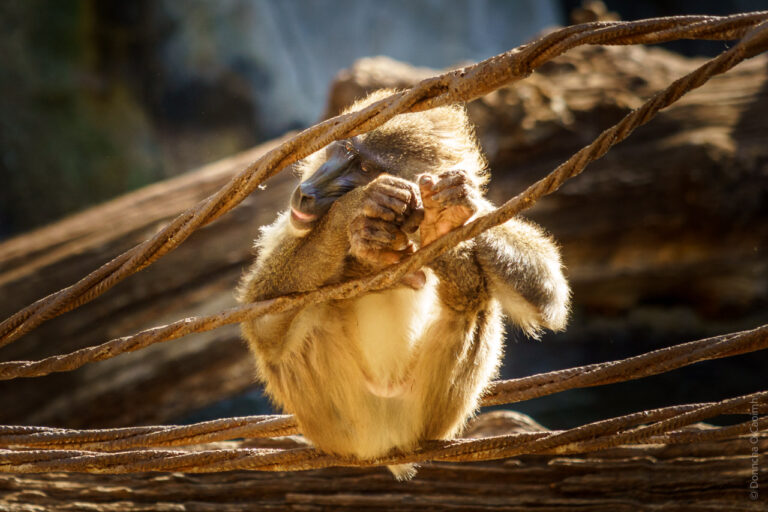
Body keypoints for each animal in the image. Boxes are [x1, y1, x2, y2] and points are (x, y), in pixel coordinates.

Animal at [237, 89, 570, 479]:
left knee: (474, 300)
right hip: (337, 417)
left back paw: (452, 263)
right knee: (307, 317)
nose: (308, 192)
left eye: (364, 167)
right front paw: (353, 215)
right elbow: (262, 324)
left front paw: (450, 210)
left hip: (432, 413)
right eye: (342, 150)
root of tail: (386, 444)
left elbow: (549, 292)